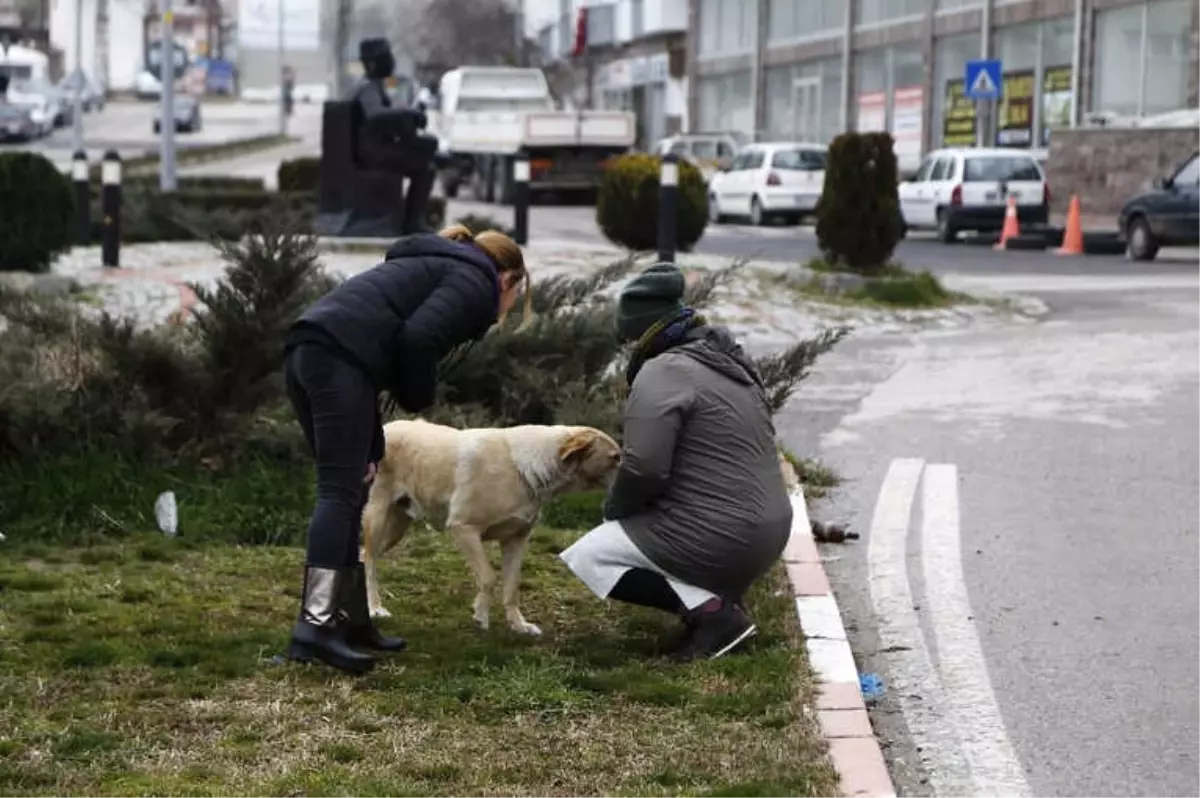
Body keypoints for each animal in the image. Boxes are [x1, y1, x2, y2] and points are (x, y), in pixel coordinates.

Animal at [362, 417, 624, 633]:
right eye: (615, 457)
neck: (523, 470)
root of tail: (387, 425)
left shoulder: (516, 540)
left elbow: (512, 587)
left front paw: (518, 625)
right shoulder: (463, 528)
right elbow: (488, 577)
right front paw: (481, 616)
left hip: (398, 526)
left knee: (364, 556)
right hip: (377, 517)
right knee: (370, 561)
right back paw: (374, 608)